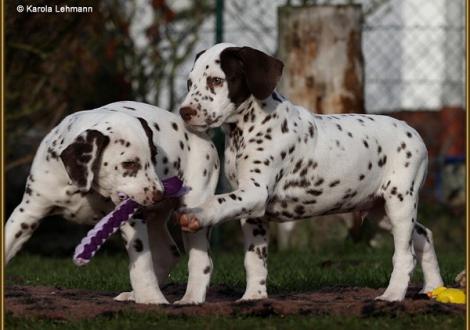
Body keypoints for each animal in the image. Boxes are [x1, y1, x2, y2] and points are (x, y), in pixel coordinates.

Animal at [5, 100, 219, 304]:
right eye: (129, 164)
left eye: (153, 157)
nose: (159, 193)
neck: (84, 187)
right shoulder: (28, 212)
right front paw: (148, 296)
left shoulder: (132, 217)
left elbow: (142, 263)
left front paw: (152, 299)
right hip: (155, 220)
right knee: (168, 253)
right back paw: (134, 295)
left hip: (192, 212)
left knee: (202, 261)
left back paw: (190, 299)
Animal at [175, 43, 444, 302]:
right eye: (189, 82)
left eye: (216, 80)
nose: (184, 112)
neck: (248, 129)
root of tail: (413, 131)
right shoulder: (253, 213)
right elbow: (255, 260)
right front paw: (253, 297)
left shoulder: (254, 192)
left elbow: (218, 201)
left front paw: (196, 214)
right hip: (381, 212)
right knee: (425, 235)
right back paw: (433, 288)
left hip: (399, 203)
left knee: (405, 255)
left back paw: (392, 296)